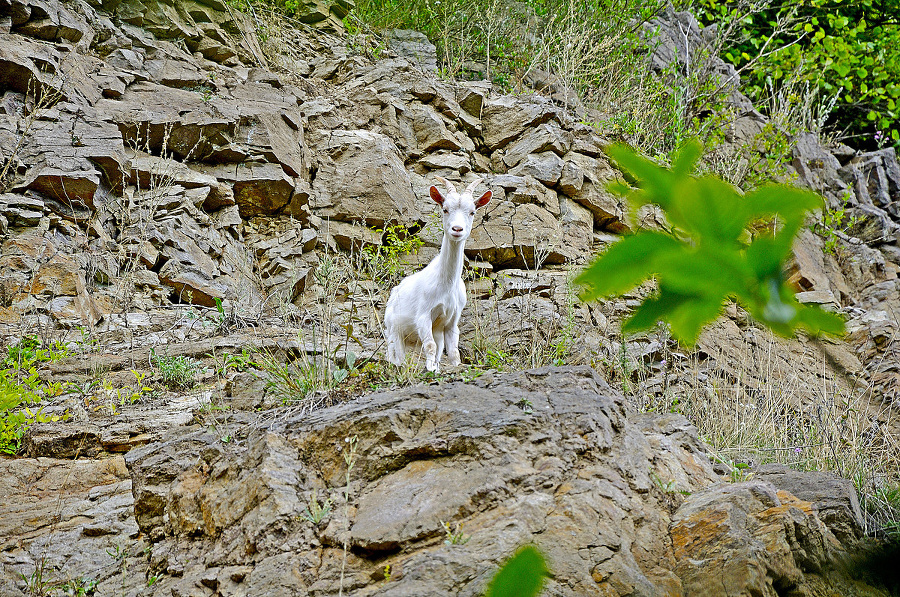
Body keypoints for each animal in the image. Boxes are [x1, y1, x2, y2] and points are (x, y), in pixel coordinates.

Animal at [382, 177, 488, 372]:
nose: (457, 229)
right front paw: (431, 369)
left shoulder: (452, 319)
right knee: (396, 354)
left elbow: (452, 350)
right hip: (394, 330)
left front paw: (450, 366)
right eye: (445, 209)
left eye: (472, 212)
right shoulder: (423, 315)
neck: (446, 284)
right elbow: (430, 345)